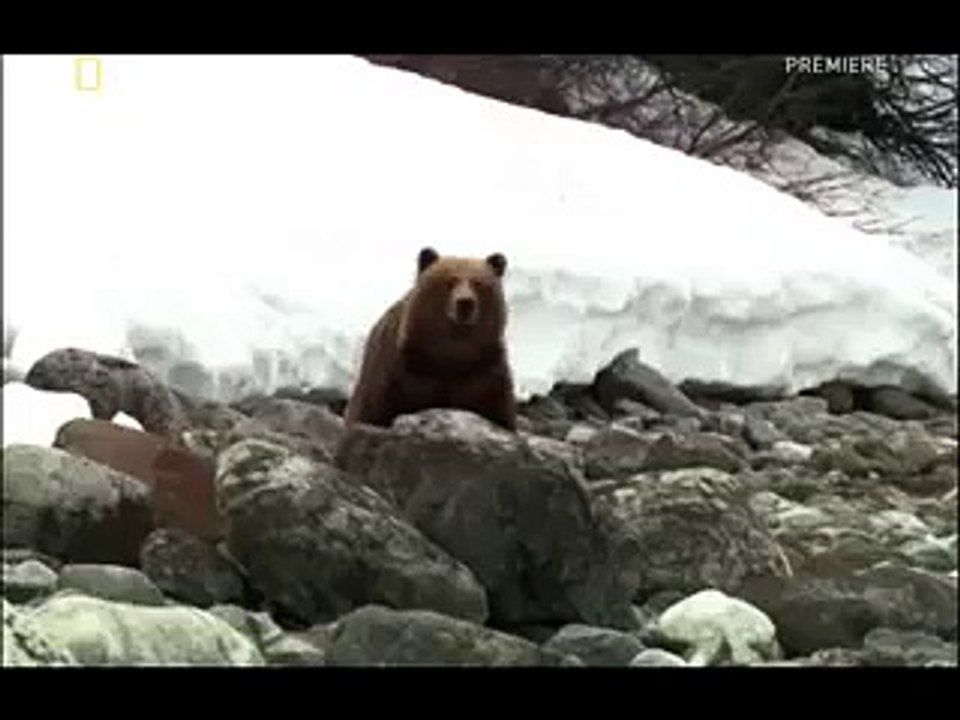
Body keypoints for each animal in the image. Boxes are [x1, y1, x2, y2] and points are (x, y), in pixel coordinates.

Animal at [343, 246, 518, 432]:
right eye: (450, 281)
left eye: (478, 283)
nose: (465, 302)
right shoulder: (403, 373)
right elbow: (378, 411)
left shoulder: (484, 375)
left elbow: (501, 414)